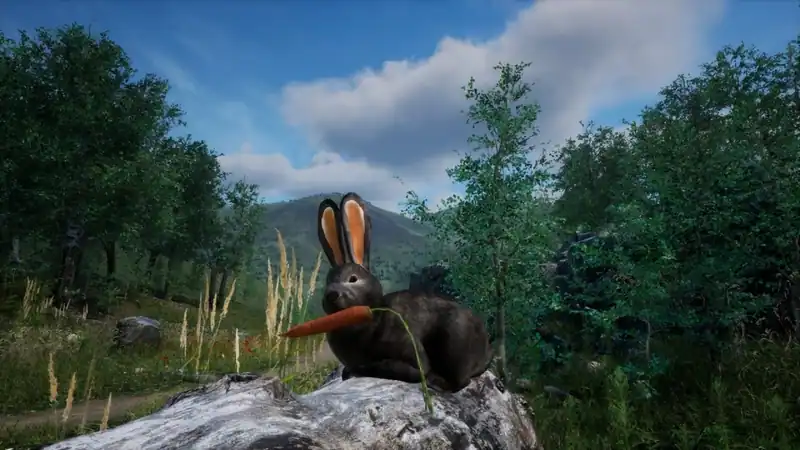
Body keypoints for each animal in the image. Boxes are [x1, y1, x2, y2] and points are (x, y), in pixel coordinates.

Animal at [316, 192, 493, 393]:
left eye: (352, 279)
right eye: (328, 281)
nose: (331, 295)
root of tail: (487, 349)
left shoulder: (410, 351)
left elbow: (398, 367)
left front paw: (356, 370)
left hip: (454, 338)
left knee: (460, 382)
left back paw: (436, 383)